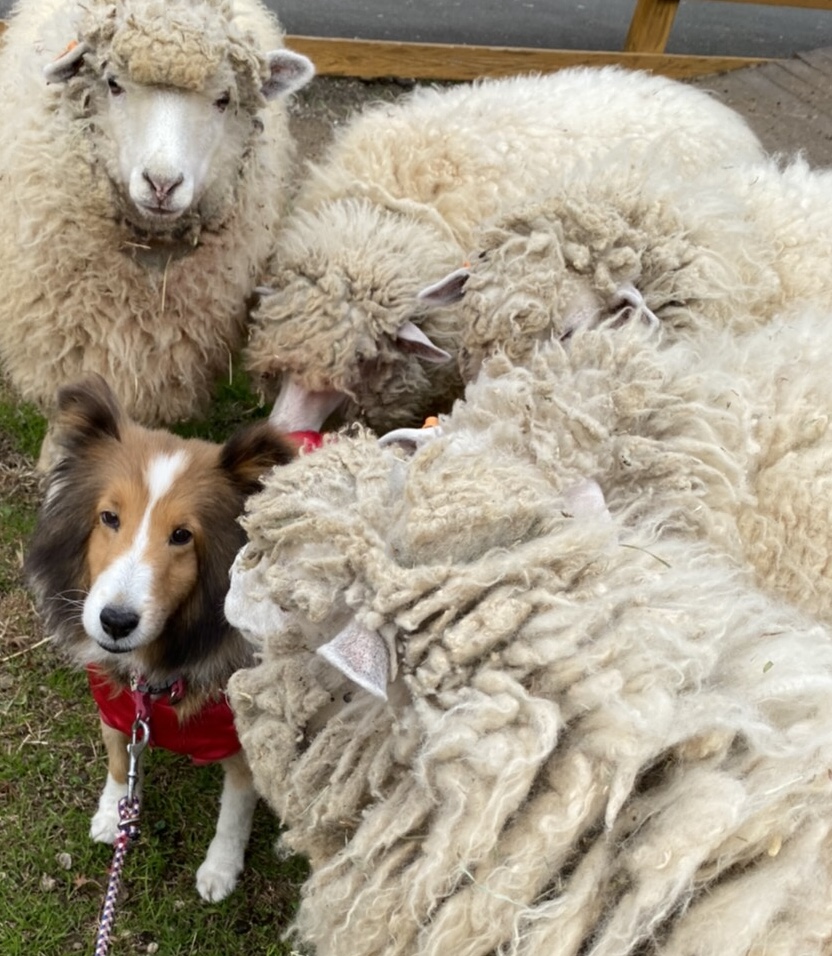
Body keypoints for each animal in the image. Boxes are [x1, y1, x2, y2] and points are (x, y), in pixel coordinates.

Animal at [25, 374, 298, 901]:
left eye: (182, 535)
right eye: (109, 517)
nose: (115, 622)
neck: (158, 672)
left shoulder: (242, 735)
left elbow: (235, 810)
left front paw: (220, 870)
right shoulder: (116, 706)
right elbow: (118, 759)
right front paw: (112, 814)